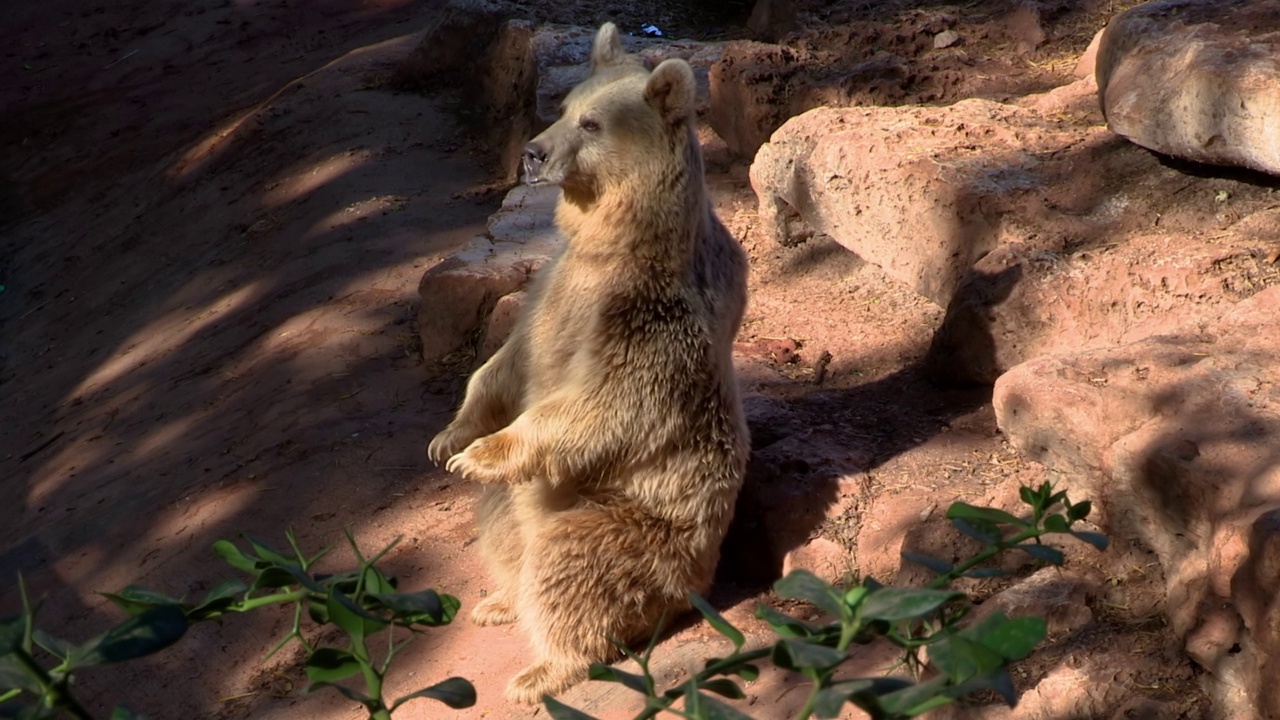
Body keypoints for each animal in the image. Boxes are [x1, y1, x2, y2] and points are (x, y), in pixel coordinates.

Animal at [430, 20, 747, 702]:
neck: (612, 243)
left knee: (571, 561)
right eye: (564, 105)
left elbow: (605, 399)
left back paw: (542, 668)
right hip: (537, 502)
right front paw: (451, 438)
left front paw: (479, 453)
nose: (532, 152)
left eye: (593, 122)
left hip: (633, 519)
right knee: (503, 523)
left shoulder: (642, 317)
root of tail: (695, 587)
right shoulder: (553, 288)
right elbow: (504, 365)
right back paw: (500, 599)